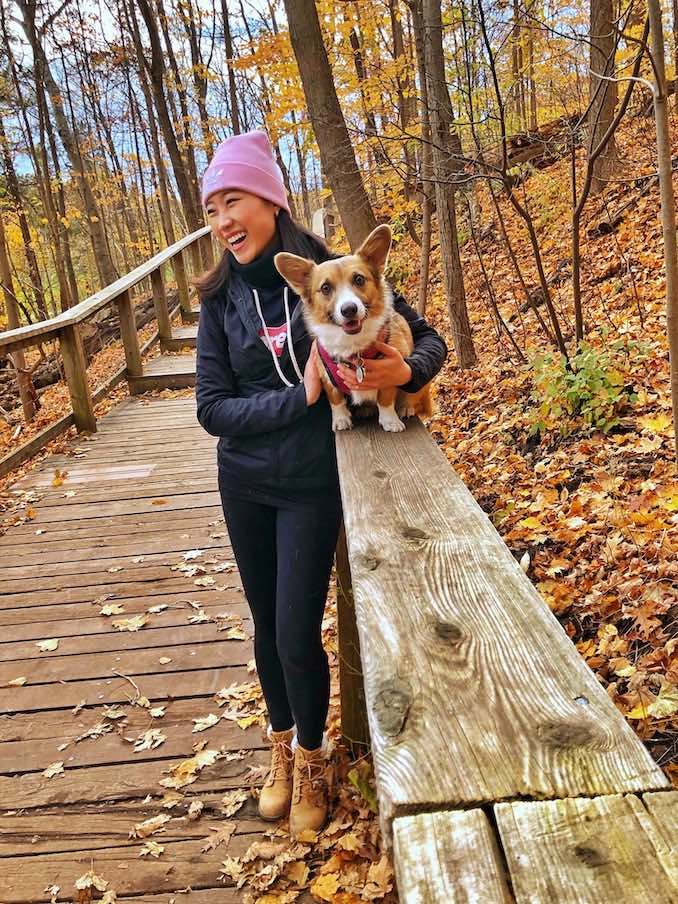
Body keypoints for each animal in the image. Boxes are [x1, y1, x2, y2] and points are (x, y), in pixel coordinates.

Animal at [274, 221, 430, 430]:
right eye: (325, 288)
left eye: (359, 279)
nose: (349, 309)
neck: (352, 344)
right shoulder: (325, 377)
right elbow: (336, 399)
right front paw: (341, 419)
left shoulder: (392, 372)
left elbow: (385, 397)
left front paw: (389, 420)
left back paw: (406, 408)